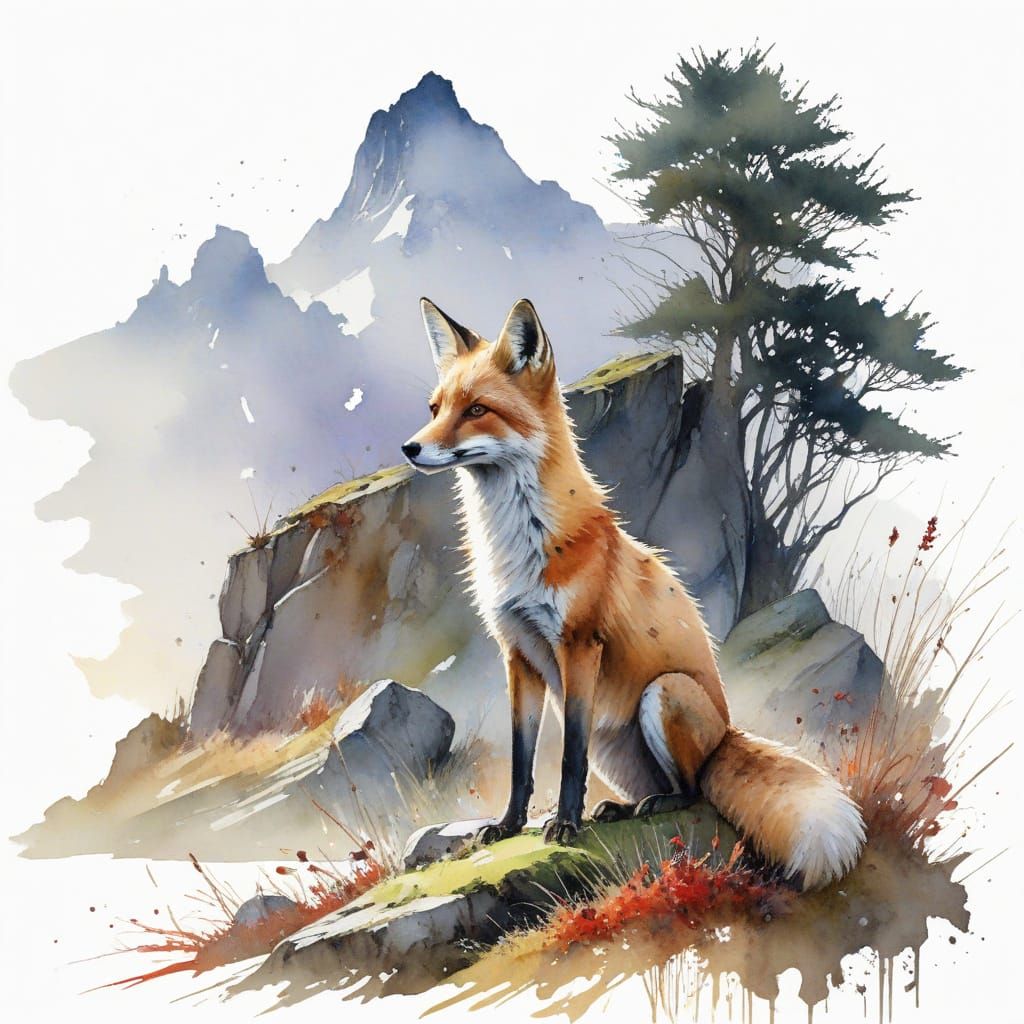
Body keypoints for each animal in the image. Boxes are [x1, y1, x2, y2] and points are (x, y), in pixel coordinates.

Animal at [401, 296, 866, 889]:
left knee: (692, 792)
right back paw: (619, 809)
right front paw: (507, 827)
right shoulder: (519, 655)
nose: (410, 447)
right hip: (614, 741)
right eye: (435, 408)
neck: (517, 545)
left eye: (477, 409)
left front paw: (565, 825)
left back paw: (648, 807)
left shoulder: (579, 645)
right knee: (657, 788)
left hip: (662, 694)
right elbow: (522, 761)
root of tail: (728, 733)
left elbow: (567, 759)